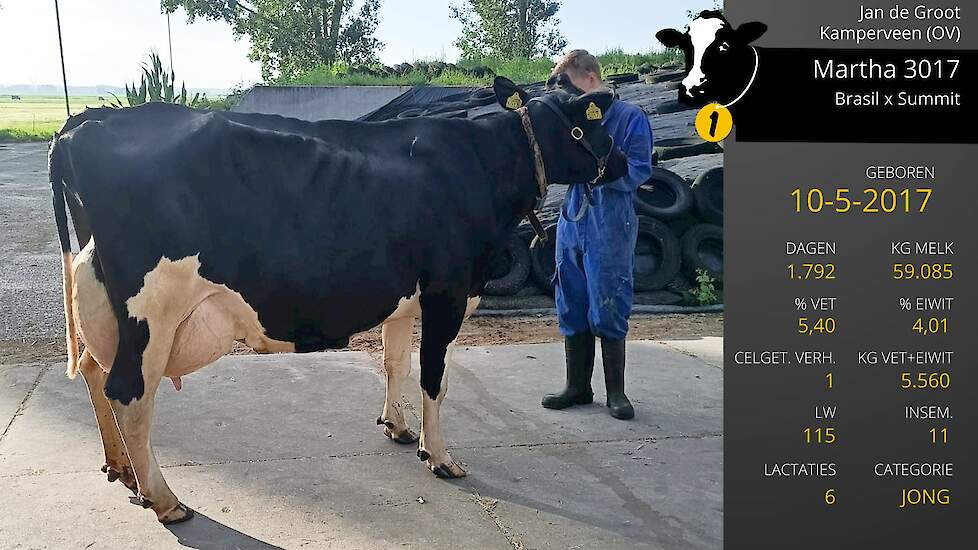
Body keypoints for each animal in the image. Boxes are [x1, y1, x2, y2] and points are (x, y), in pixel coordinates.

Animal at [49, 76, 628, 524]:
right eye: (588, 122)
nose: (625, 162)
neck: (482, 165)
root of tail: (87, 122)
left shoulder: (404, 298)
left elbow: (396, 362)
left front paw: (398, 428)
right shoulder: (447, 291)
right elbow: (434, 378)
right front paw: (439, 457)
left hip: (106, 300)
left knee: (98, 373)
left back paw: (122, 470)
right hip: (151, 308)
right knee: (129, 392)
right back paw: (165, 501)